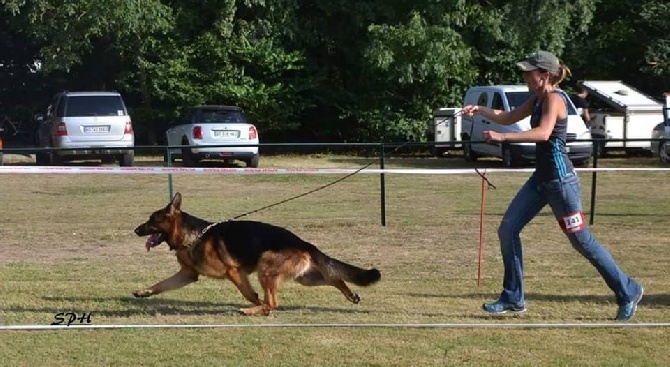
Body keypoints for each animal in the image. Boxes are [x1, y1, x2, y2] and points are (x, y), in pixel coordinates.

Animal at [134, 193, 384, 316]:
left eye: (151, 220)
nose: (135, 230)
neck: (193, 236)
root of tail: (304, 243)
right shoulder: (188, 275)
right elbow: (161, 284)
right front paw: (144, 291)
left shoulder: (234, 271)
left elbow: (249, 293)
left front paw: (255, 302)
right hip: (306, 278)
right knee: (336, 278)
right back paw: (351, 295)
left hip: (266, 267)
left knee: (272, 302)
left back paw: (253, 311)